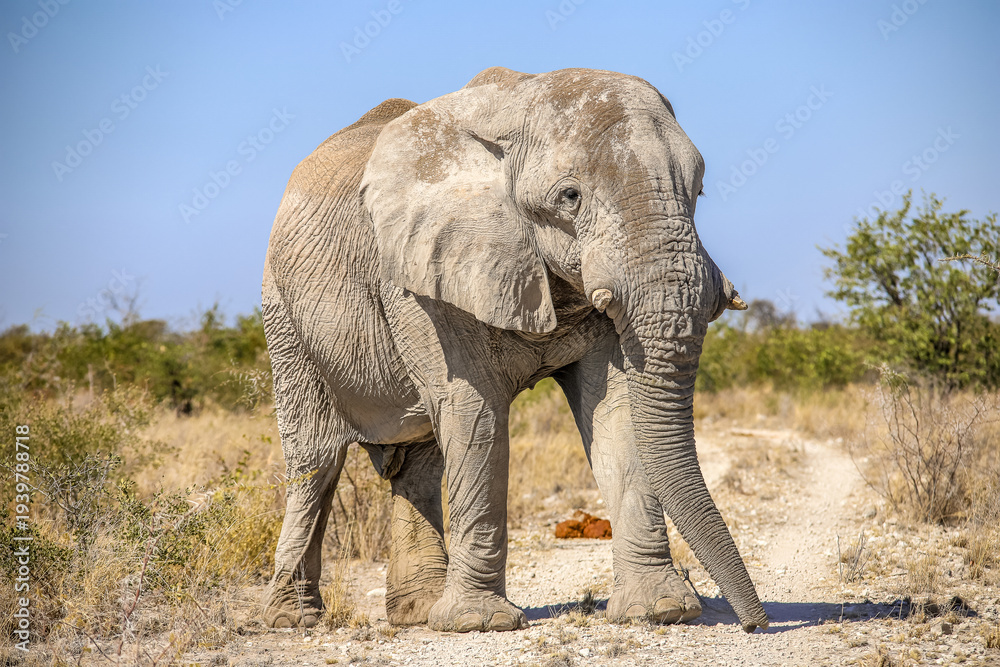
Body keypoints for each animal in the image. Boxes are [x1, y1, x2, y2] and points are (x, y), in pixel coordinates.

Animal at [260, 66, 769, 634]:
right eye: (569, 196)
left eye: (699, 188)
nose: (756, 624)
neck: (518, 103)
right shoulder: (423, 275)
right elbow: (473, 410)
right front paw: (480, 624)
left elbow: (616, 409)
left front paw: (660, 610)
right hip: (283, 313)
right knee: (316, 459)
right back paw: (293, 620)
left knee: (419, 459)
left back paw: (417, 614)